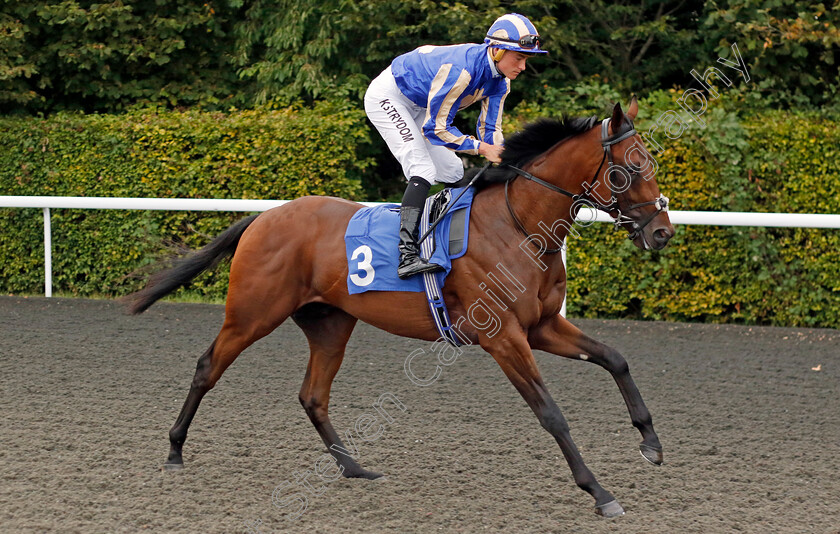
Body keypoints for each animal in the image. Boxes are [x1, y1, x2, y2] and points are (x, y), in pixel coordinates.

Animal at [126, 97, 676, 520]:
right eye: (630, 169)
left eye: (651, 163)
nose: (662, 233)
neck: (519, 227)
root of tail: (265, 217)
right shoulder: (503, 337)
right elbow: (551, 414)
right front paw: (600, 492)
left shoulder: (542, 326)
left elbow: (614, 358)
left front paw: (650, 442)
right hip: (251, 314)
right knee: (207, 367)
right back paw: (174, 450)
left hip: (330, 324)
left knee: (313, 395)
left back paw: (354, 467)